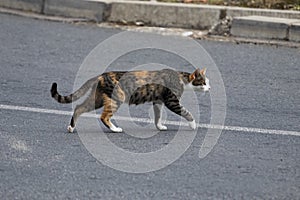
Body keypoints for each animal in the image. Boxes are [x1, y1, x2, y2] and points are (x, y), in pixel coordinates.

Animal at [50, 68, 210, 133]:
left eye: (207, 82)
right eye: (203, 82)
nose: (209, 88)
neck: (182, 79)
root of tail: (101, 75)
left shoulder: (158, 101)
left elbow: (157, 117)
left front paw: (159, 127)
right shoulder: (172, 101)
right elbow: (186, 112)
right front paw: (193, 125)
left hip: (98, 98)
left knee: (79, 107)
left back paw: (71, 127)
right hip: (116, 98)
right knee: (104, 116)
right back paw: (115, 129)